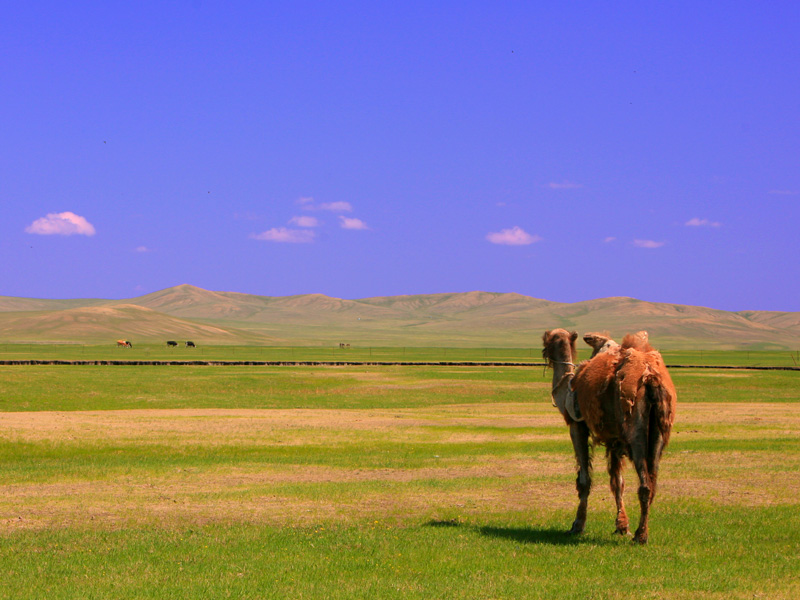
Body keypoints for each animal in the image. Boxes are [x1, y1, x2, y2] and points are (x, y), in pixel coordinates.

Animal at [540, 328, 680, 544]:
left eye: (547, 338)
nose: (543, 351)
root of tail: (651, 379)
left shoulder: (577, 425)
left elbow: (584, 480)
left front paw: (577, 525)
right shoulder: (614, 439)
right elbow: (618, 482)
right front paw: (622, 526)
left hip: (635, 427)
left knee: (645, 484)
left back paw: (640, 536)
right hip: (661, 427)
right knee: (653, 480)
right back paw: (642, 531)